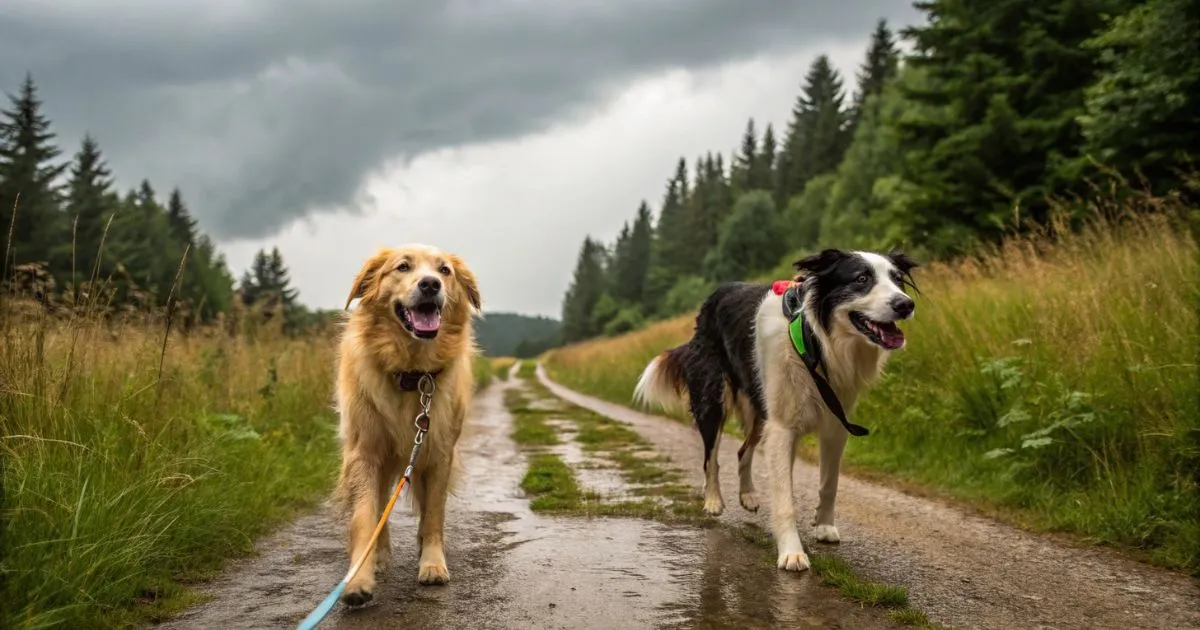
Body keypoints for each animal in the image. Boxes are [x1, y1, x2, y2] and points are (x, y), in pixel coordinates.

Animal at [331, 242, 480, 604]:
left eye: (444, 271)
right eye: (402, 267)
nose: (430, 284)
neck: (412, 372)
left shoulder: (439, 452)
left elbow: (434, 515)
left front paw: (432, 562)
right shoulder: (366, 452)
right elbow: (365, 515)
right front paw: (359, 578)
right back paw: (379, 555)